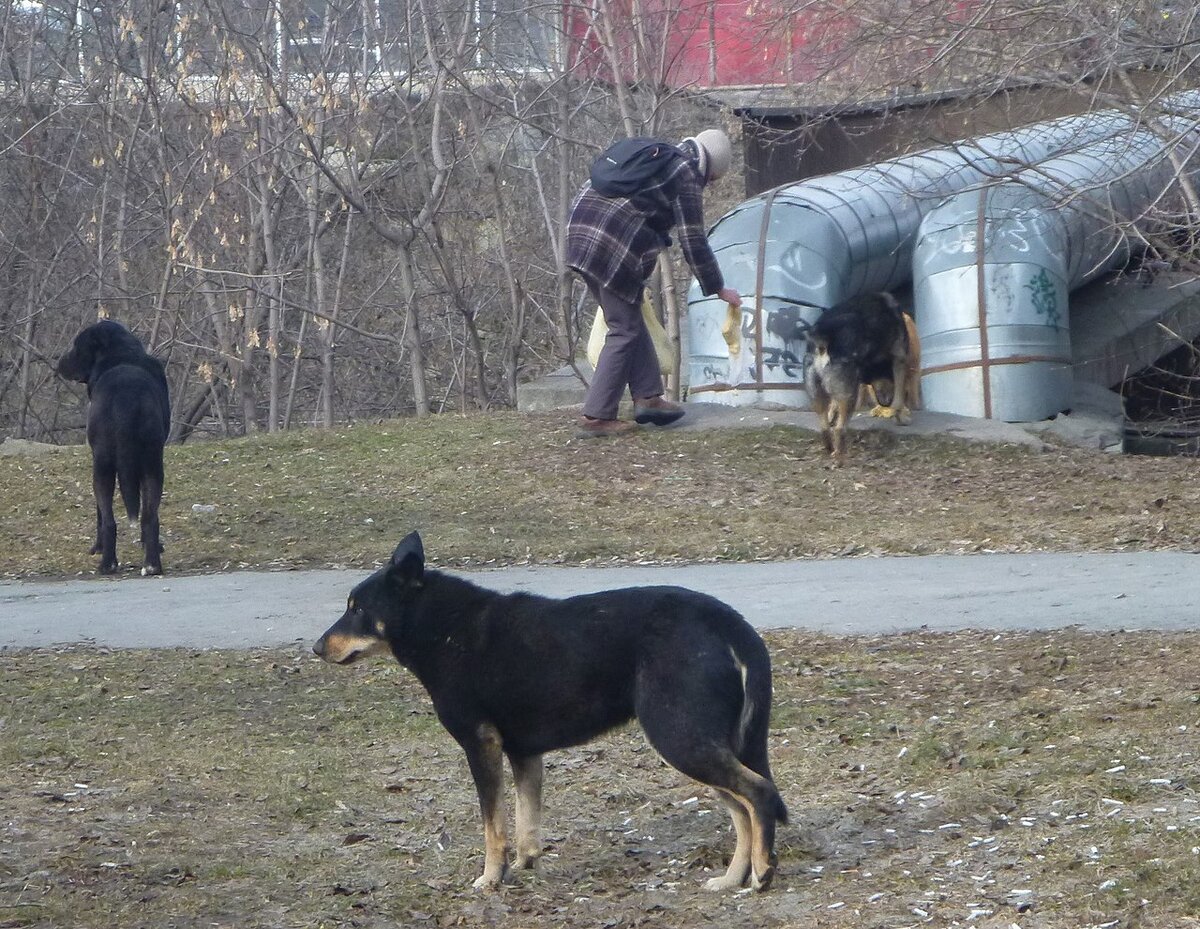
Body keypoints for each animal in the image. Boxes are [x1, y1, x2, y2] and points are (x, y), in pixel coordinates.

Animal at [56, 324, 170, 578]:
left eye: (76, 345)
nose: (58, 362)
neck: (121, 353)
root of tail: (127, 399)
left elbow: (100, 513)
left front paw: (97, 548)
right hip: (152, 464)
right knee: (150, 517)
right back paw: (152, 563)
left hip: (103, 466)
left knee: (108, 519)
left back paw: (107, 563)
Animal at [314, 535, 792, 897]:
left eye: (357, 609)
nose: (317, 648)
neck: (443, 628)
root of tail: (730, 624)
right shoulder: (525, 754)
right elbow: (526, 823)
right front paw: (524, 867)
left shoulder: (481, 745)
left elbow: (493, 826)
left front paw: (491, 879)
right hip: (700, 742)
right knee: (743, 808)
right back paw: (732, 879)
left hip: (680, 737)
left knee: (758, 794)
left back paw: (762, 874)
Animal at [801, 290, 921, 465]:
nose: (884, 403)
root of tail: (823, 340)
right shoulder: (899, 360)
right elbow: (899, 397)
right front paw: (900, 417)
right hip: (848, 395)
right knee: (839, 429)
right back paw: (841, 456)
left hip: (817, 393)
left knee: (825, 428)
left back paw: (830, 449)